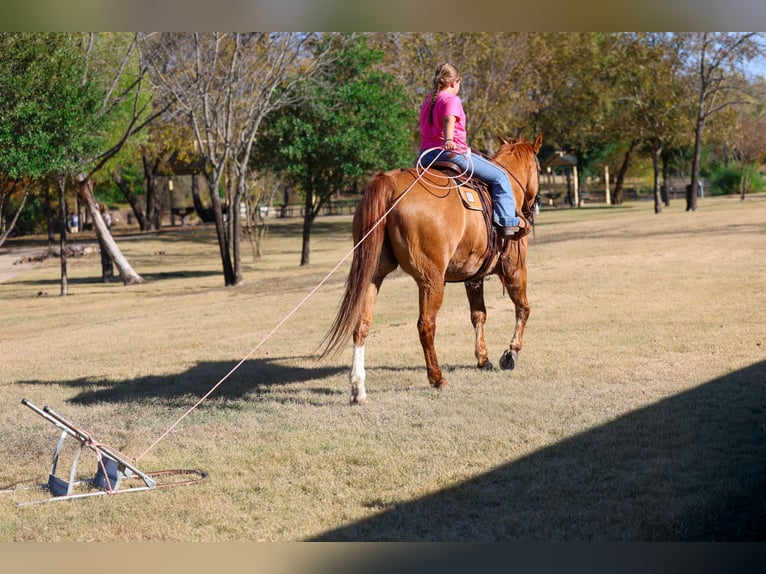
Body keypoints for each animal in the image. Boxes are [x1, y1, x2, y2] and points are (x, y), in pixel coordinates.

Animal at [321, 134, 543, 404]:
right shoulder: (514, 269)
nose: (536, 205)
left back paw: (358, 388)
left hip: (372, 274)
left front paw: (483, 358)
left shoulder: (474, 277)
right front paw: (511, 353)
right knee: (426, 325)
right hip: (432, 280)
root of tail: (390, 182)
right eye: (539, 167)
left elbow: (478, 315)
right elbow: (523, 309)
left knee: (362, 324)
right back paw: (437, 378)